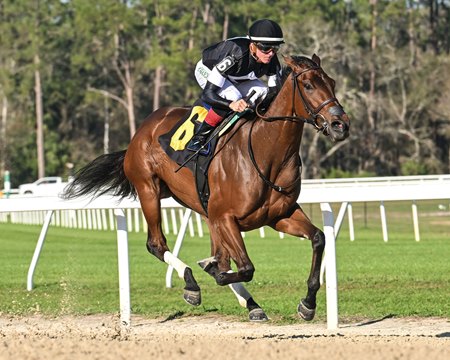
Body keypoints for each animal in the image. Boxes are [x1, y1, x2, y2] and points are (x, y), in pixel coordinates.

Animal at [62, 54, 352, 322]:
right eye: (308, 85)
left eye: (332, 83)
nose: (341, 125)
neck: (265, 151)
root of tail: (143, 129)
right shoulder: (226, 217)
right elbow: (243, 267)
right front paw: (210, 271)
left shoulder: (279, 215)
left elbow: (318, 238)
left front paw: (308, 304)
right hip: (149, 190)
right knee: (156, 244)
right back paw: (192, 283)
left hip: (199, 205)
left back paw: (251, 304)